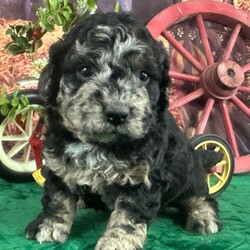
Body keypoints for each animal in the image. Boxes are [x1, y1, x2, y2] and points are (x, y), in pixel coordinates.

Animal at [25, 12, 224, 250]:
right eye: (85, 70)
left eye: (144, 75)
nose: (117, 113)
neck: (100, 145)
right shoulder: (58, 164)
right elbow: (57, 197)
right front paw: (49, 224)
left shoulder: (143, 177)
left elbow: (129, 214)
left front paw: (117, 241)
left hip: (190, 177)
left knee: (201, 197)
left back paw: (203, 215)